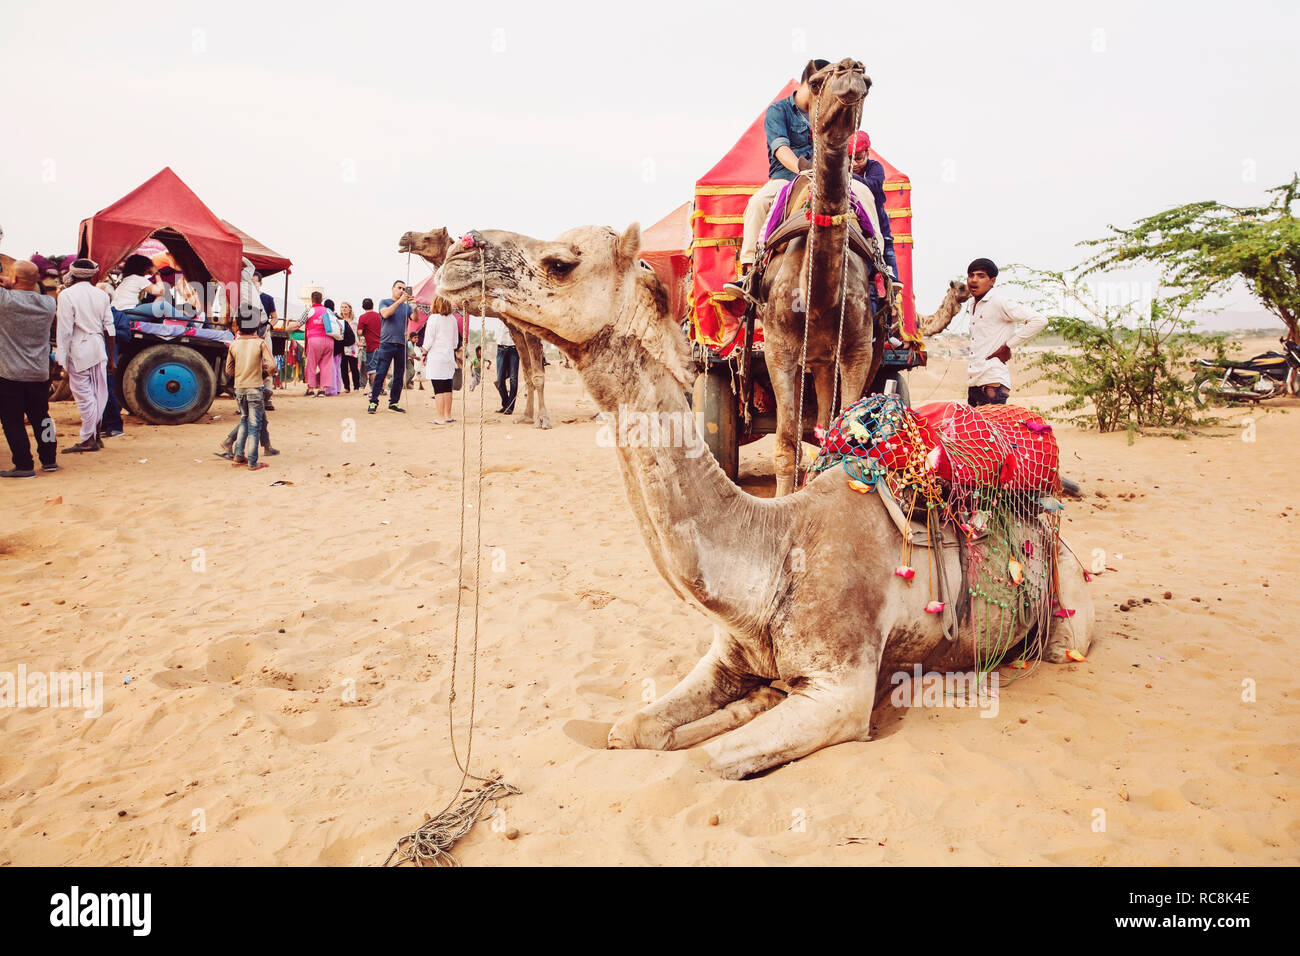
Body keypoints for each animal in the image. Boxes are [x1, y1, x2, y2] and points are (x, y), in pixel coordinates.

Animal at [400, 226, 553, 429]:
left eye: (428, 237)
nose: (404, 237)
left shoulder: (530, 326)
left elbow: (537, 375)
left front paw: (543, 419)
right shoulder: (515, 328)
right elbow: (527, 374)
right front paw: (526, 417)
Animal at [431, 222, 1092, 780]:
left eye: (560, 262)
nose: (460, 255)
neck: (775, 552)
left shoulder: (840, 690)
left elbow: (707, 763)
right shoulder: (730, 655)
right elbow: (631, 730)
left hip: (1067, 613)